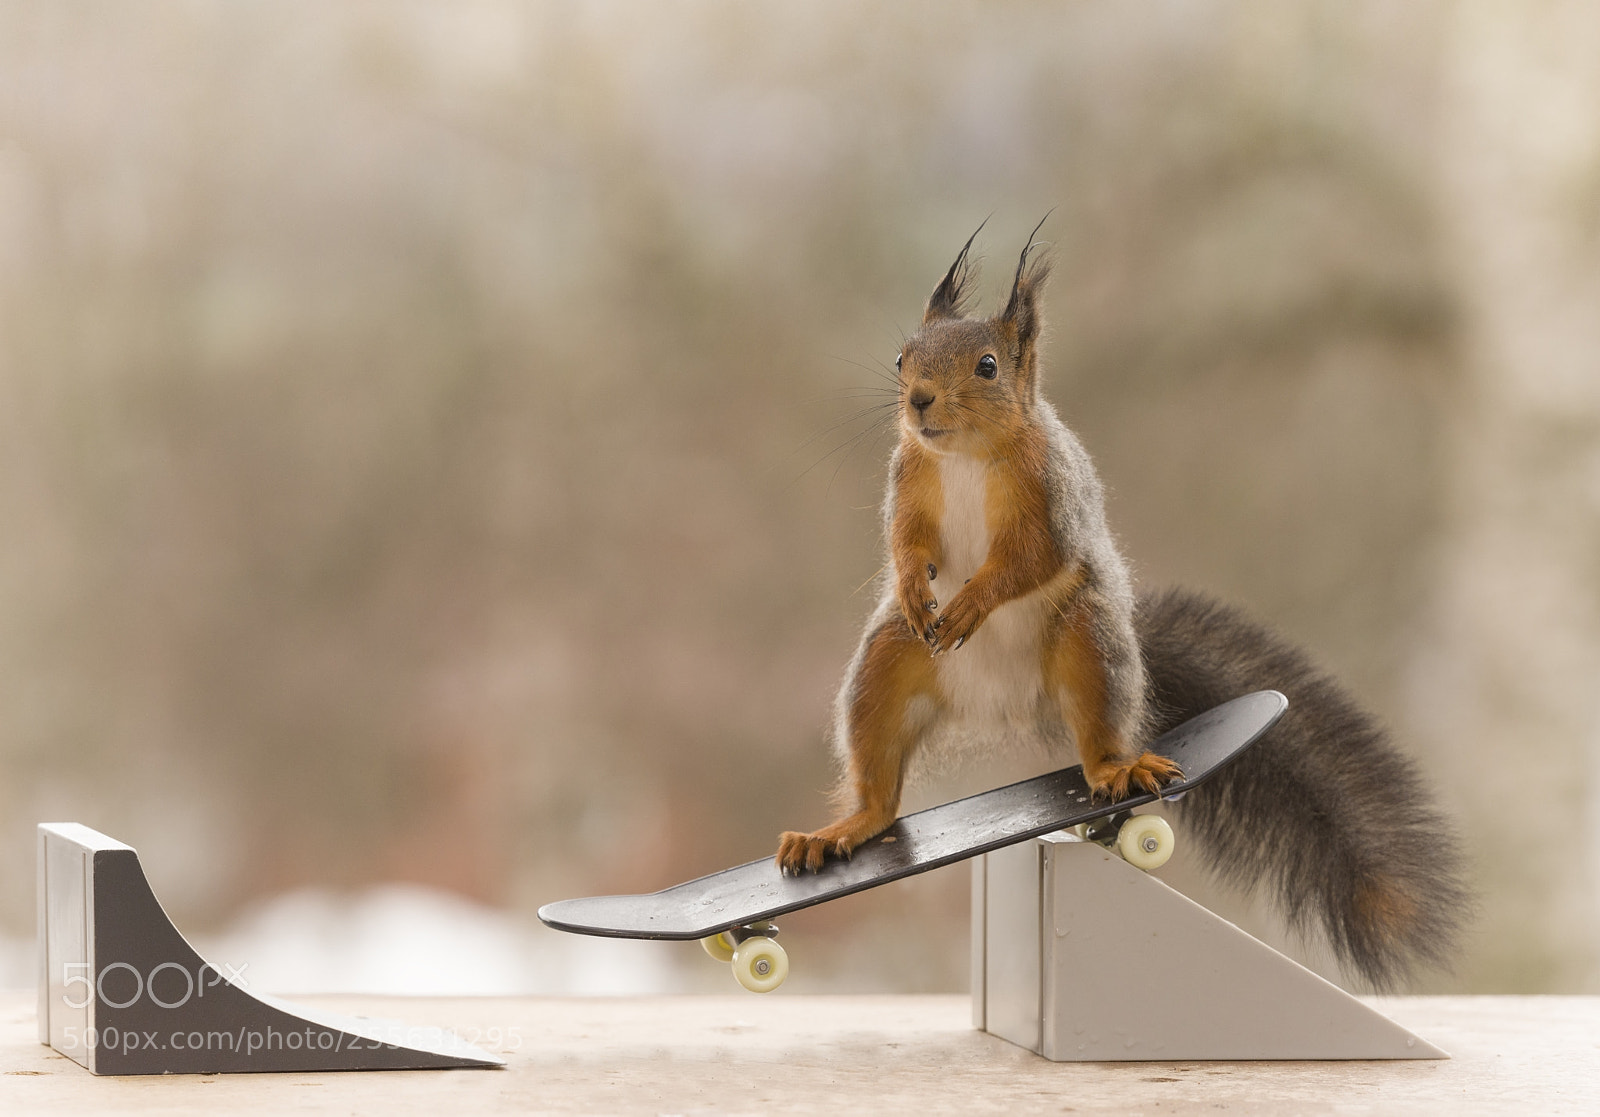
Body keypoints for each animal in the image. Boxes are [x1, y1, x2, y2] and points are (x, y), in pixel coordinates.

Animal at [776, 221, 1470, 989]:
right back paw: (841, 829)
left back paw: (1117, 769)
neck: (963, 456)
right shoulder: (909, 480)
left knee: (1099, 737)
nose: (919, 400)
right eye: (903, 356)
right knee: (881, 787)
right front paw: (911, 586)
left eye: (987, 366)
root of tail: (1007, 703)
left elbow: (1030, 560)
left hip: (1089, 643)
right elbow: (904, 541)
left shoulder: (1052, 498)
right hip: (886, 666)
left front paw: (970, 603)